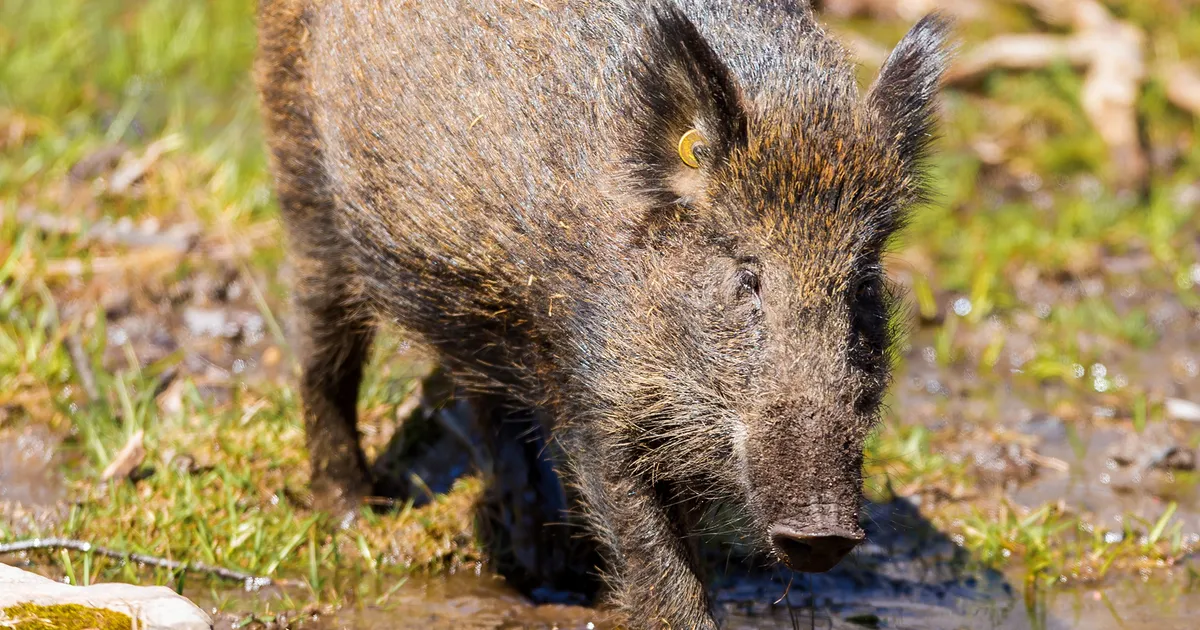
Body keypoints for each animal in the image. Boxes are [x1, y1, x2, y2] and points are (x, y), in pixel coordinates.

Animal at [254, 0, 951, 627]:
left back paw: (548, 572)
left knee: (492, 406)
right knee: (323, 348)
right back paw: (356, 515)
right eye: (747, 277)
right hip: (302, 168)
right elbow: (659, 572)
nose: (822, 532)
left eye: (862, 283)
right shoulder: (593, 390)